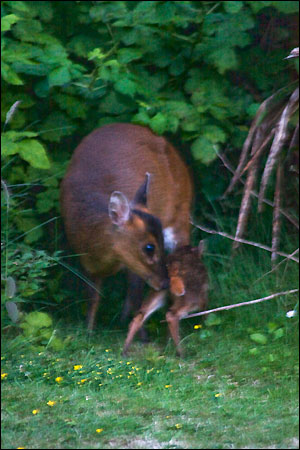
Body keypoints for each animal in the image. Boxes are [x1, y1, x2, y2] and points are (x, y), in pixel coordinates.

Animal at [59, 124, 193, 352]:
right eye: (149, 247)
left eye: (159, 242)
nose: (164, 283)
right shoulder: (85, 260)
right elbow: (92, 296)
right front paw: (88, 331)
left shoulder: (134, 266)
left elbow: (137, 296)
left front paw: (144, 337)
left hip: (182, 215)